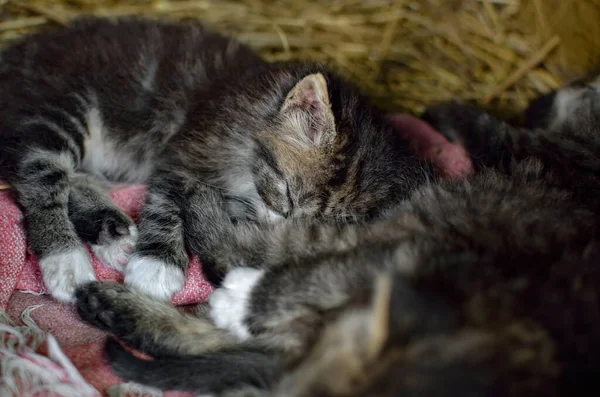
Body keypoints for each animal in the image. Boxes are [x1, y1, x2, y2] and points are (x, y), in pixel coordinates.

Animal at [1, 14, 432, 300]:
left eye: (319, 224)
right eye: (285, 193)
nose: (274, 229)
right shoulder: (186, 148)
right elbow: (167, 199)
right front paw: (156, 265)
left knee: (72, 174)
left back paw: (113, 232)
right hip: (62, 107)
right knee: (40, 173)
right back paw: (67, 261)